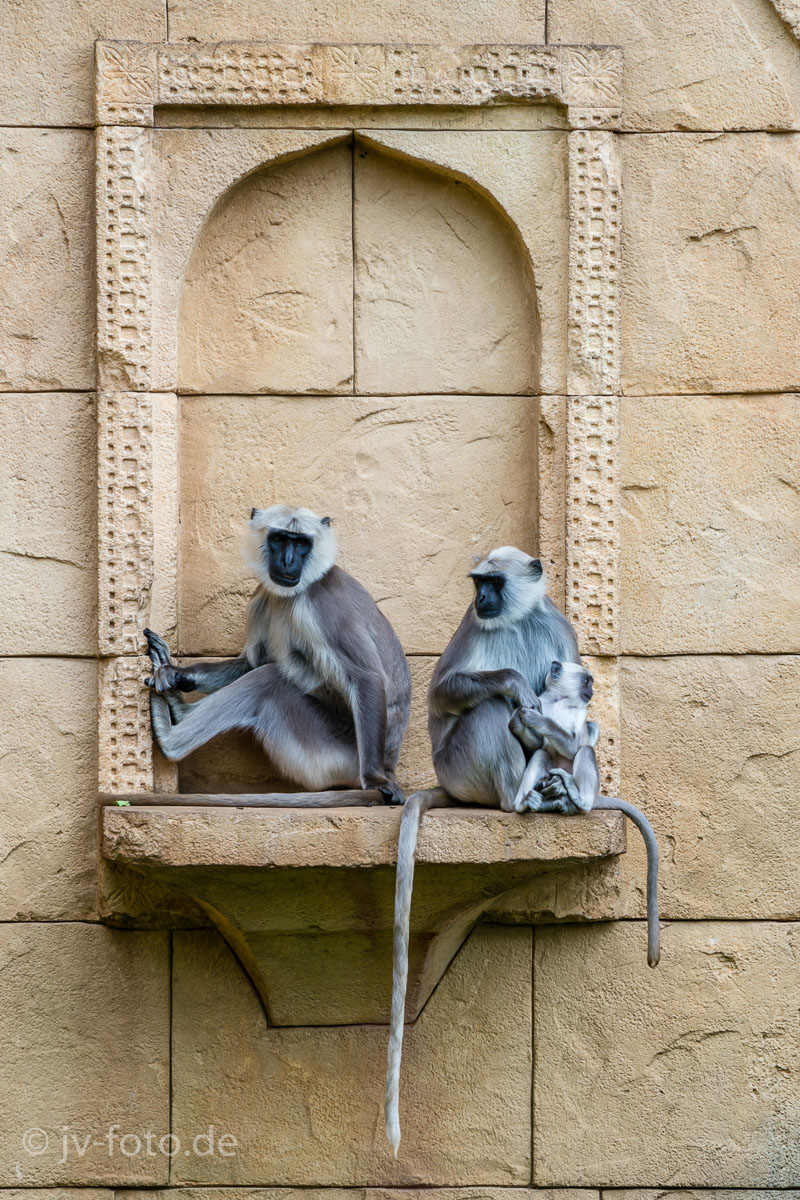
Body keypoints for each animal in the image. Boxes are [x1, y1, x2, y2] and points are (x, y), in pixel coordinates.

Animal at [144, 505, 411, 806]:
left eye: (302, 543)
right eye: (280, 539)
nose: (288, 561)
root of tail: (391, 762)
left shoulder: (321, 603)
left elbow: (366, 678)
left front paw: (376, 779)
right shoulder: (261, 596)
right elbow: (249, 662)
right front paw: (176, 673)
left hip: (333, 755)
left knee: (268, 679)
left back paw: (169, 739)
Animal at [385, 547, 581, 1154]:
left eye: (493, 582)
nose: (483, 599)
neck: (515, 619)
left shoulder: (555, 626)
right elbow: (443, 691)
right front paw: (518, 685)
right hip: (460, 762)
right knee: (493, 710)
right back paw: (518, 798)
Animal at [511, 660, 661, 969]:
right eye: (588, 681)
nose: (593, 690)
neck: (560, 701)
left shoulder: (577, 715)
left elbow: (574, 743)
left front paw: (534, 719)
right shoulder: (544, 701)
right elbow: (536, 746)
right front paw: (519, 718)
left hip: (585, 784)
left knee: (586, 751)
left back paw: (576, 800)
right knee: (543, 755)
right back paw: (531, 802)